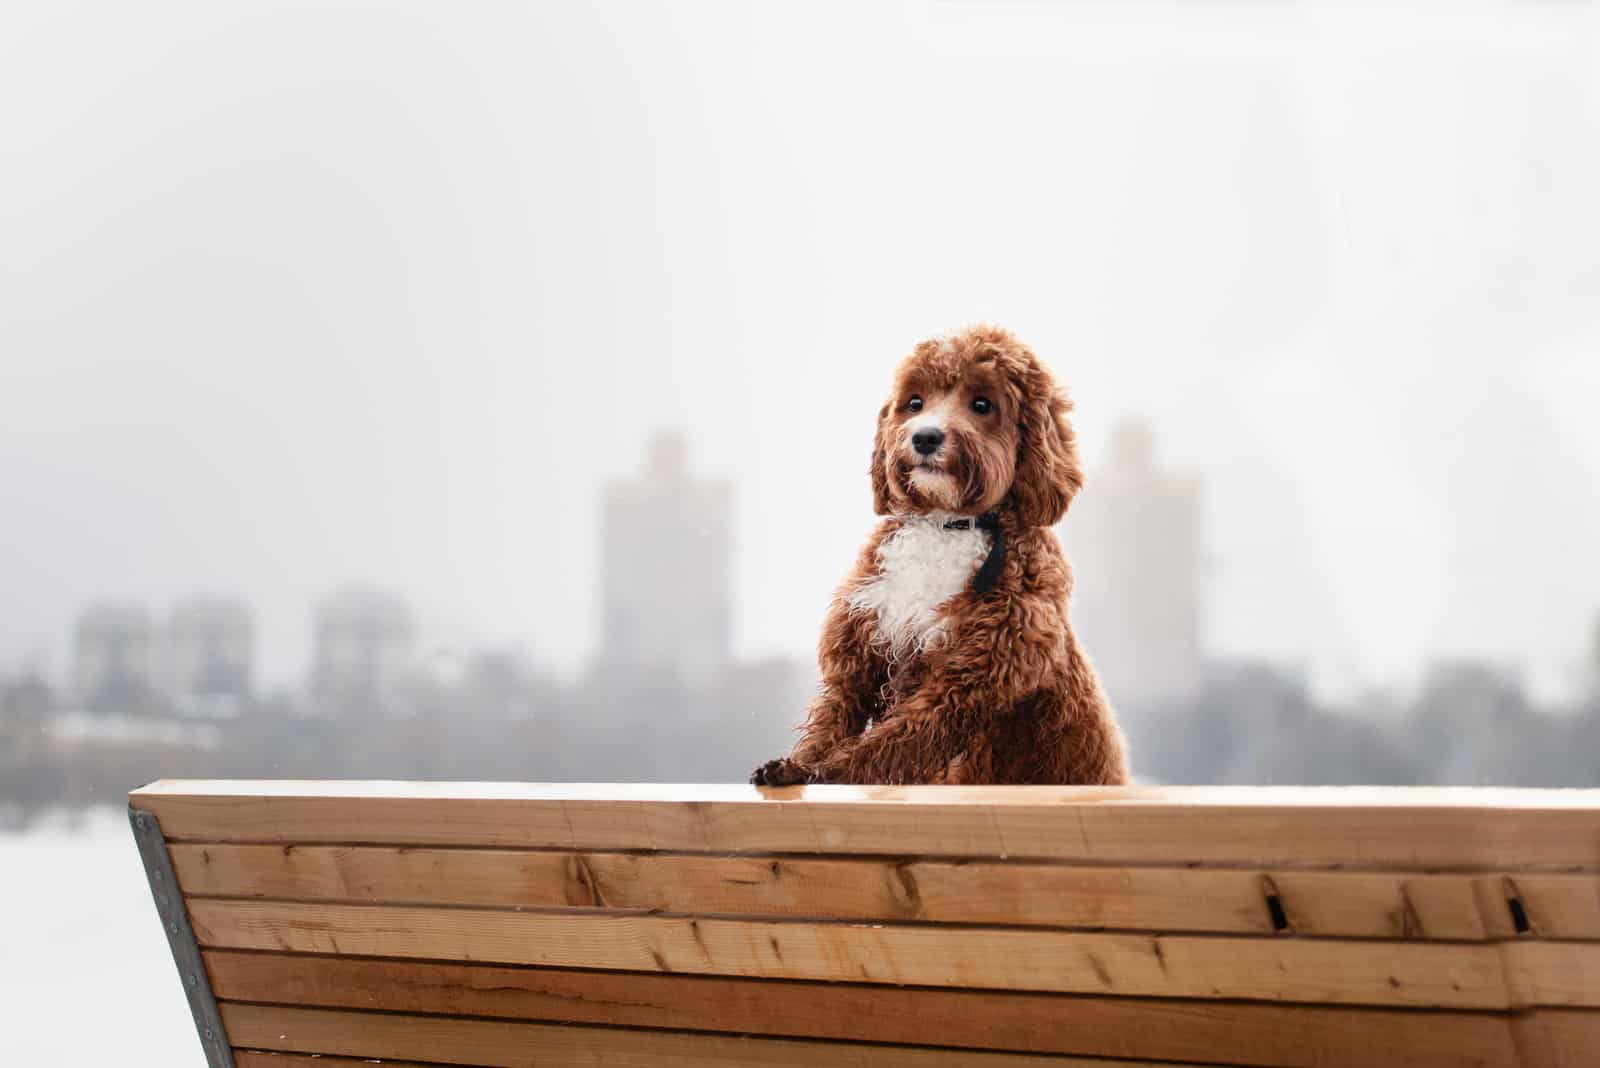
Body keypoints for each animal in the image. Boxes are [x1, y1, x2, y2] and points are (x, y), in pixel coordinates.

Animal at [748, 322, 1126, 783]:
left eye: (982, 404)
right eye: (915, 402)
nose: (925, 436)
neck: (946, 524)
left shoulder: (967, 682)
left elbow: (887, 744)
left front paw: (822, 773)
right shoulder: (859, 649)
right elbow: (834, 714)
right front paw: (796, 765)